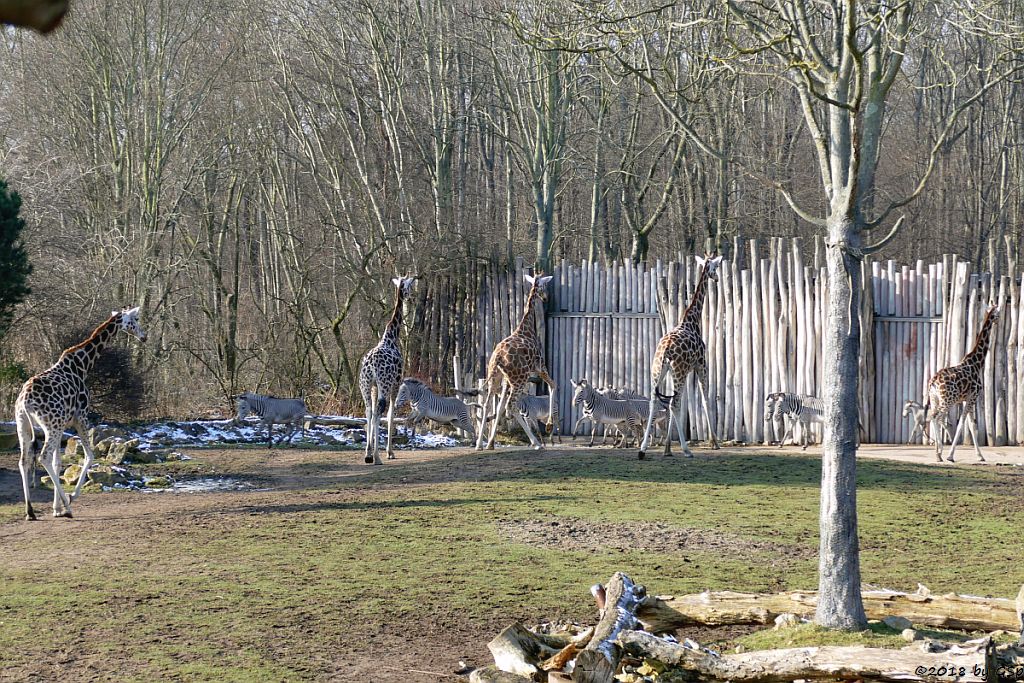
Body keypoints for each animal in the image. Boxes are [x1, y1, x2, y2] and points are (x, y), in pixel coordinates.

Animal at [13, 307, 146, 520]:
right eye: (135, 319)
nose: (144, 336)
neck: (82, 365)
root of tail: (25, 401)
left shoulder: (64, 425)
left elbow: (58, 463)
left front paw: (56, 508)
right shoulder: (80, 418)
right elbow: (89, 456)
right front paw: (68, 499)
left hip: (23, 425)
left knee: (24, 461)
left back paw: (30, 512)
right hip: (51, 426)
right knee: (42, 457)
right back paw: (68, 507)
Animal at [356, 274, 411, 464]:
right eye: (409, 286)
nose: (409, 297)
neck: (392, 336)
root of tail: (371, 363)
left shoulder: (373, 387)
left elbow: (372, 413)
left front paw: (371, 451)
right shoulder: (396, 384)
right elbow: (391, 415)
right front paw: (389, 452)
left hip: (365, 385)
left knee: (368, 411)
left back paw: (367, 455)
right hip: (385, 384)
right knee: (379, 412)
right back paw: (377, 458)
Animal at [475, 272, 557, 454]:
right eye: (544, 286)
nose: (546, 298)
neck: (526, 328)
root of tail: (498, 357)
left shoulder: (507, 380)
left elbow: (498, 408)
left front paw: (490, 443)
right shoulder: (539, 367)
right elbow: (553, 385)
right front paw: (549, 425)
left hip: (496, 378)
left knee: (487, 404)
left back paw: (479, 445)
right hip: (519, 379)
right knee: (511, 406)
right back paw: (537, 443)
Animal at [634, 254, 724, 458]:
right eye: (716, 266)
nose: (716, 278)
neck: (692, 320)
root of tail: (666, 348)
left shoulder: (680, 371)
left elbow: (677, 403)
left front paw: (667, 448)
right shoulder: (701, 365)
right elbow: (704, 400)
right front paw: (714, 442)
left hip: (660, 370)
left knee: (655, 400)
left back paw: (643, 450)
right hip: (680, 371)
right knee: (674, 403)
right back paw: (686, 450)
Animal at [929, 305, 999, 464]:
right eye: (998, 314)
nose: (999, 320)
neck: (977, 363)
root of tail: (933, 382)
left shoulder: (966, 399)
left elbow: (972, 426)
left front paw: (980, 456)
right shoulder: (973, 396)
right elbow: (963, 423)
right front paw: (950, 455)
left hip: (935, 399)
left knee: (932, 416)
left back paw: (937, 452)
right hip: (947, 400)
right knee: (937, 417)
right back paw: (939, 453)